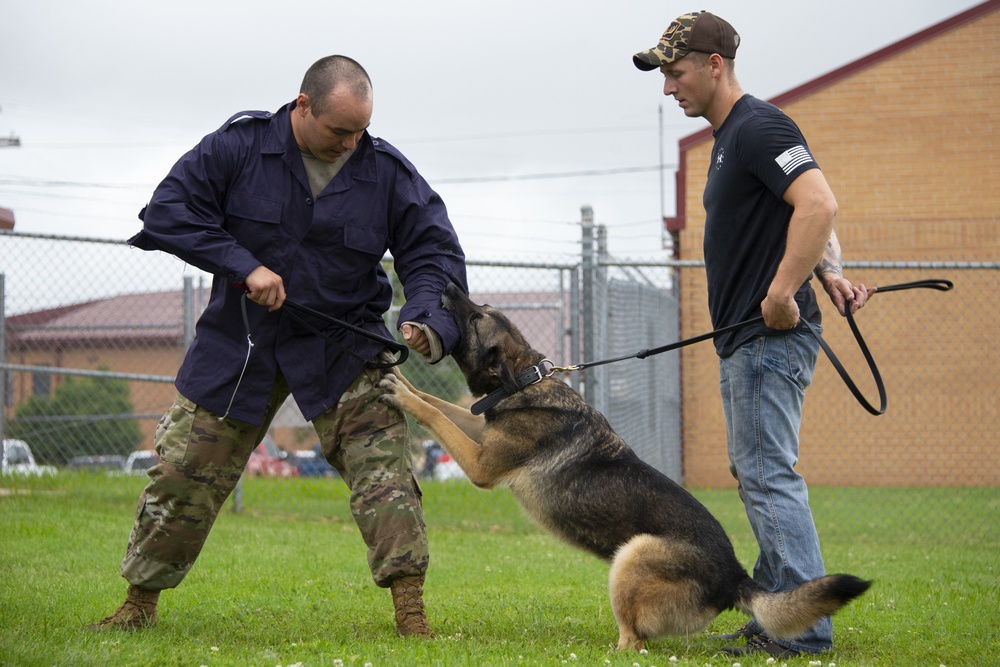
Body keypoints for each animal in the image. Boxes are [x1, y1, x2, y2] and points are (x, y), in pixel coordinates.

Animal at [378, 284, 872, 652]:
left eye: (478, 317)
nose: (447, 287)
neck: (523, 381)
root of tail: (735, 577)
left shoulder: (480, 462)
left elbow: (437, 414)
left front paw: (402, 395)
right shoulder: (481, 433)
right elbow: (438, 403)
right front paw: (400, 378)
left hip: (632, 555)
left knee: (634, 642)